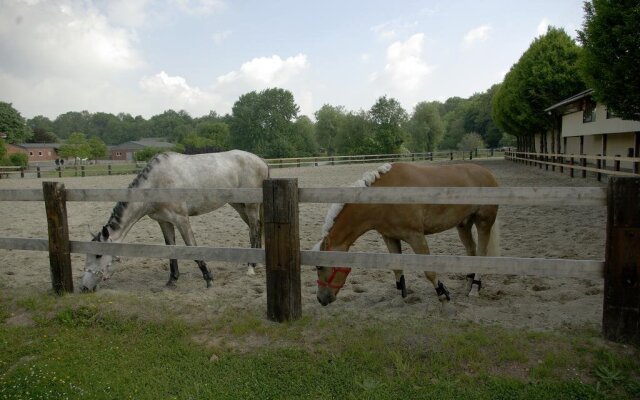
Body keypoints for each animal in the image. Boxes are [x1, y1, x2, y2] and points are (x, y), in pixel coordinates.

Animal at [314, 162, 500, 306]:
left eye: (320, 266)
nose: (321, 299)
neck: (386, 197)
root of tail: (488, 173)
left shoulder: (416, 236)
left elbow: (429, 271)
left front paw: (443, 294)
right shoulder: (390, 237)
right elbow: (397, 267)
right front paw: (400, 297)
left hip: (483, 223)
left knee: (481, 254)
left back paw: (475, 288)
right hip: (463, 225)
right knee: (471, 250)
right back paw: (468, 285)